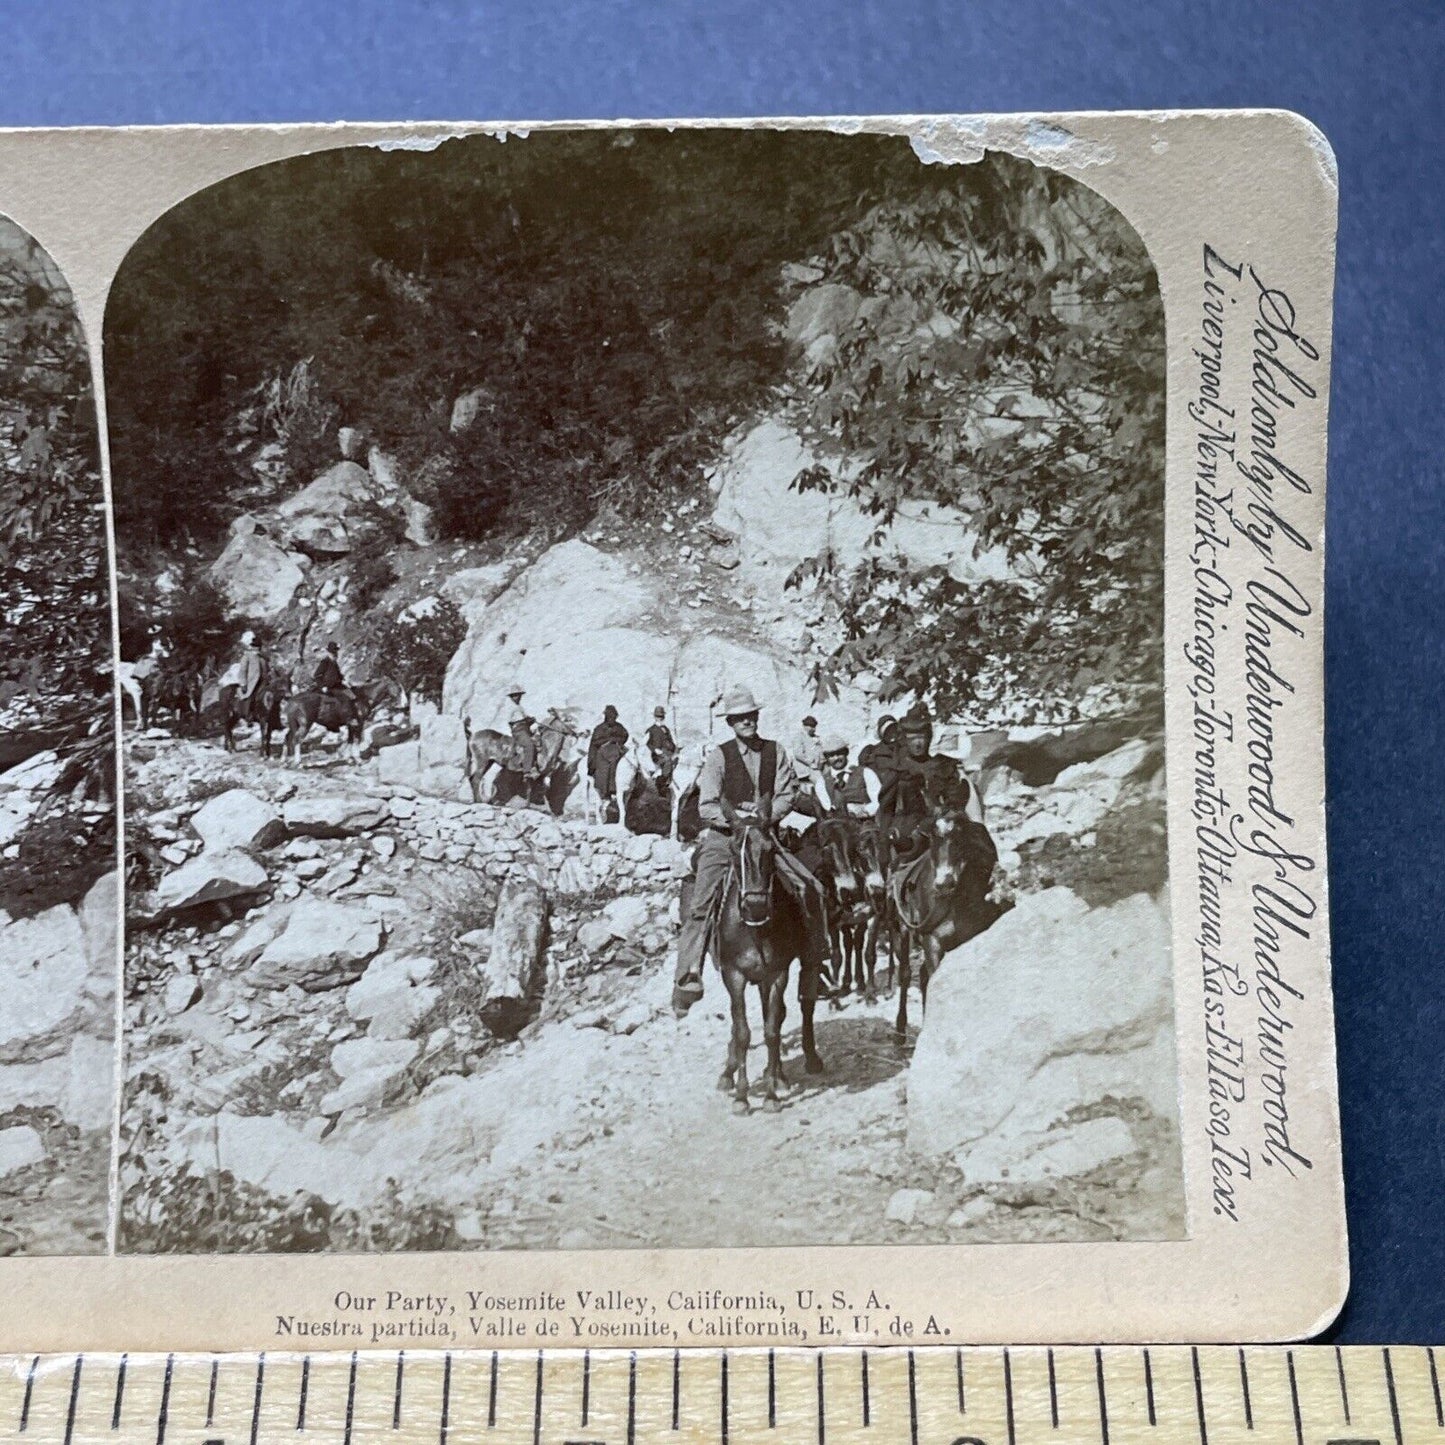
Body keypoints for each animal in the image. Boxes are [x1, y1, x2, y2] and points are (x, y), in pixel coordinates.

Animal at [708, 797, 826, 1109]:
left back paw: (799, 1065)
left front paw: (771, 1094)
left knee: (801, 1005)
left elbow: (772, 1030)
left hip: (805, 959)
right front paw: (741, 1096)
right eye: (733, 849)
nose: (756, 905)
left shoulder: (776, 973)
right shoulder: (733, 975)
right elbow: (742, 1032)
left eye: (770, 850)